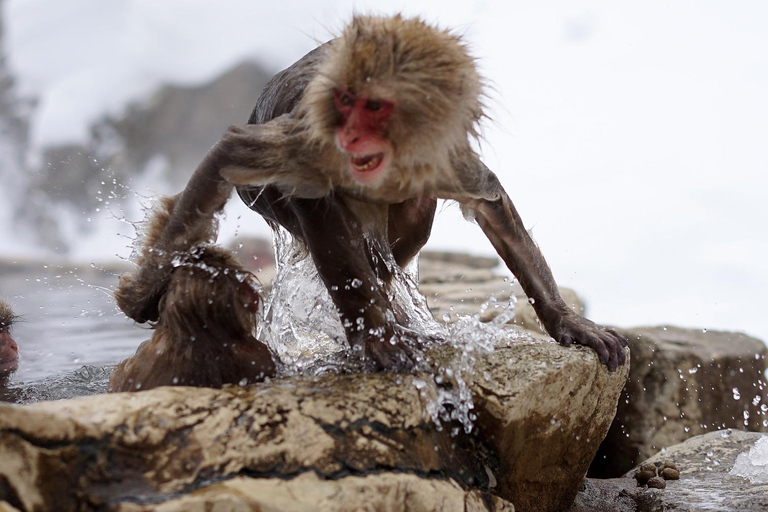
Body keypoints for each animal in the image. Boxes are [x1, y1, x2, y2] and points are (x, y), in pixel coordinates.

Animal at [114, 15, 627, 386]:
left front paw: (567, 322)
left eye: (376, 106)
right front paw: (143, 294)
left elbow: (490, 202)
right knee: (321, 213)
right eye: (345, 101)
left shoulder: (442, 156)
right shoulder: (309, 138)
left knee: (409, 221)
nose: (351, 135)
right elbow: (236, 155)